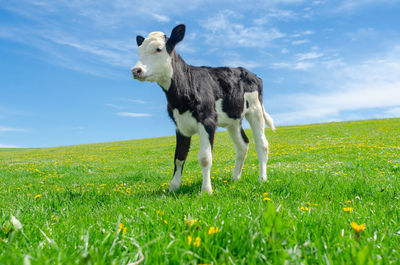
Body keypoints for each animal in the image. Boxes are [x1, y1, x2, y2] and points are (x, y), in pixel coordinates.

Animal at [132, 24, 276, 193]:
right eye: (139, 51)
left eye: (158, 49)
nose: (136, 70)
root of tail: (252, 74)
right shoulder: (180, 125)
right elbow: (179, 157)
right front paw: (173, 188)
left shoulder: (208, 121)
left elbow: (205, 158)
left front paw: (206, 190)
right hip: (233, 119)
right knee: (242, 145)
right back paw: (235, 178)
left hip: (255, 110)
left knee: (262, 145)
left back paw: (262, 179)